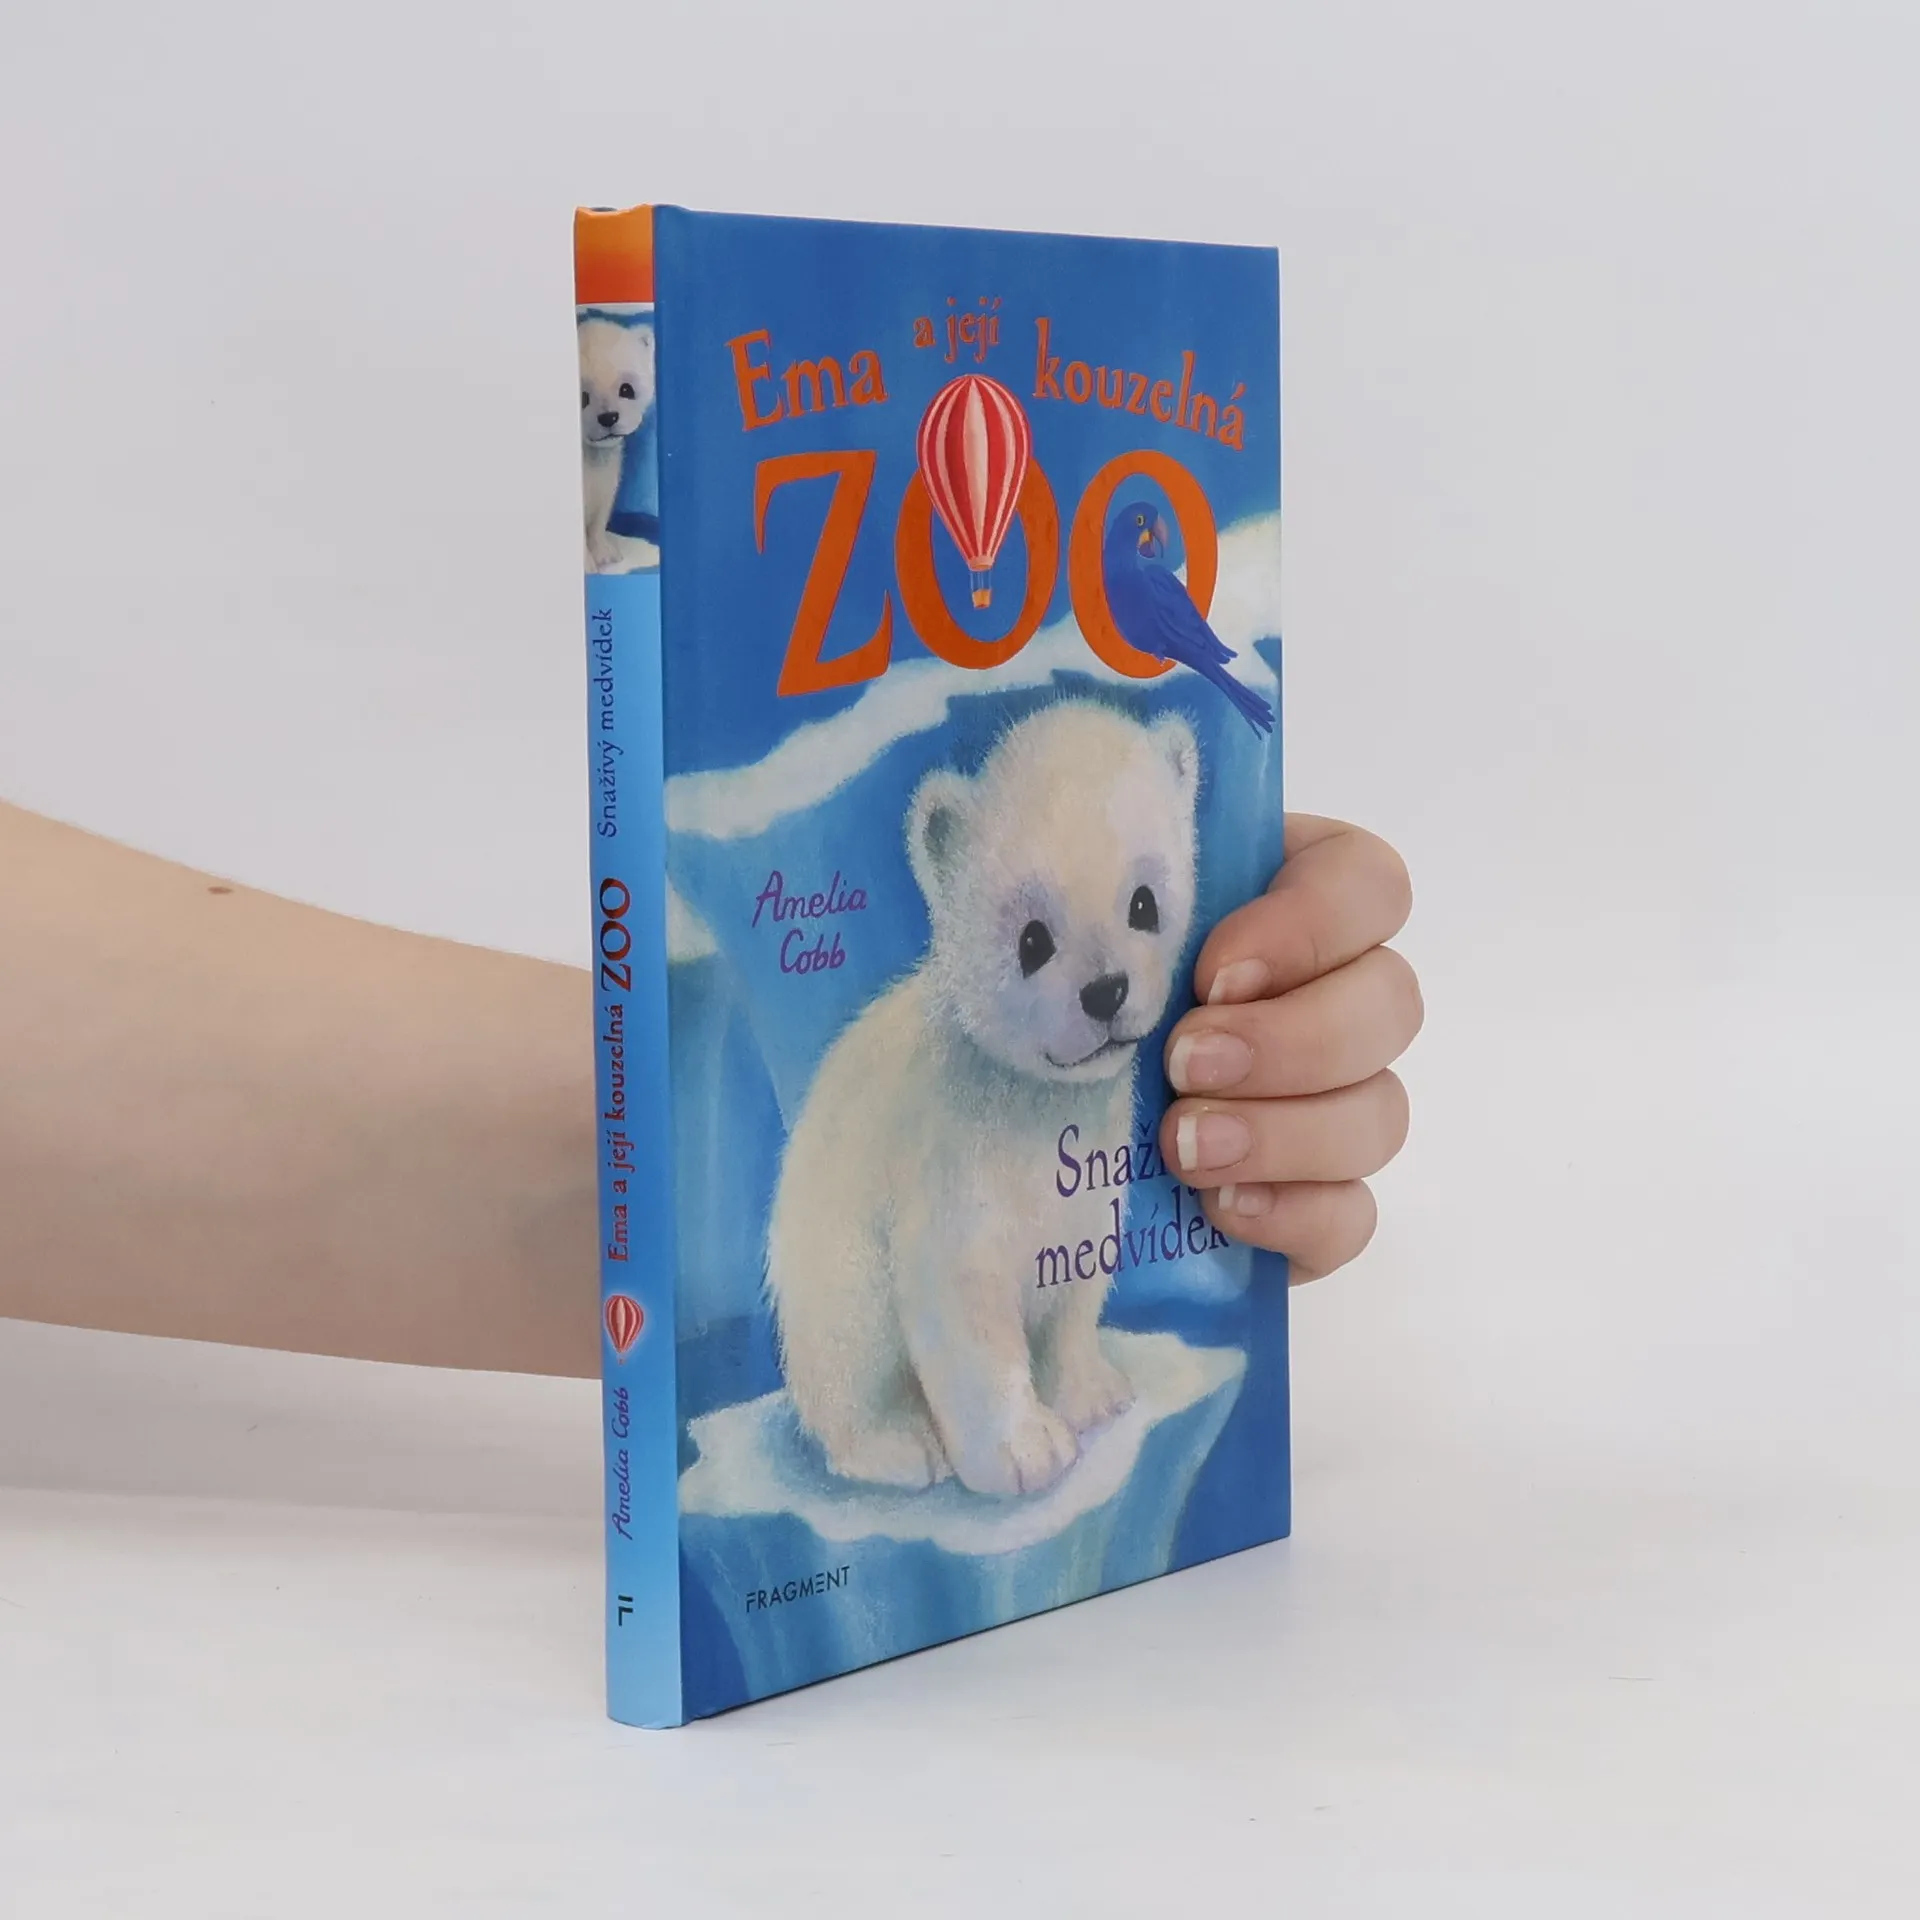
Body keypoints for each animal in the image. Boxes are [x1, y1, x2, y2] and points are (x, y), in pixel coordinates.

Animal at [578, 315, 657, 573]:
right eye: (582, 397)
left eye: (626, 389)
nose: (608, 417)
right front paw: (588, 565)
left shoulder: (607, 483)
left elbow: (599, 520)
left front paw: (605, 554)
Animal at [766, 700, 1201, 1499]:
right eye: (1031, 940)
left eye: (1144, 902)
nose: (1105, 991)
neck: (1027, 1102)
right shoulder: (949, 1161)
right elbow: (962, 1305)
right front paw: (1027, 1451)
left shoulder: (1091, 1175)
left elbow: (1077, 1278)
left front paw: (1093, 1393)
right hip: (827, 1271)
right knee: (849, 1356)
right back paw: (899, 1446)